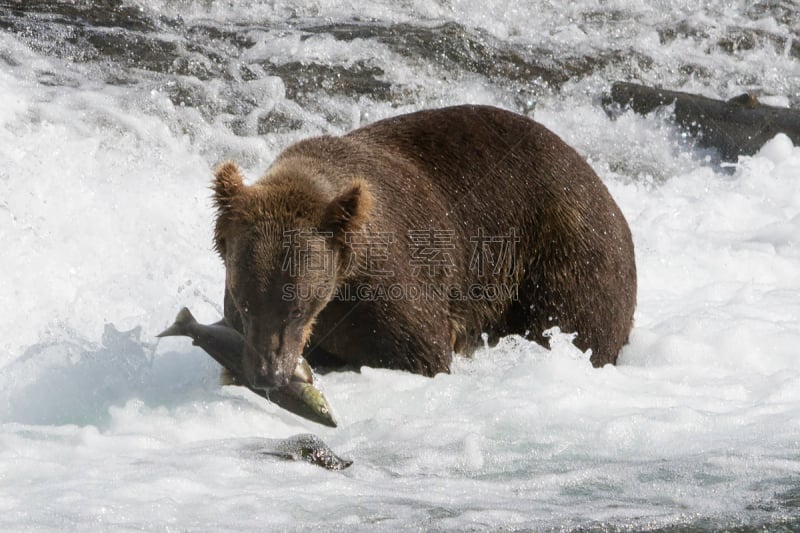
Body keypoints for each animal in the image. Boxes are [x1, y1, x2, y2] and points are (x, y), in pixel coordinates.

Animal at [211, 104, 636, 388]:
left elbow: (419, 351)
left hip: (562, 251)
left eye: (298, 306)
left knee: (572, 324)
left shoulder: (392, 284)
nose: (269, 375)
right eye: (245, 303)